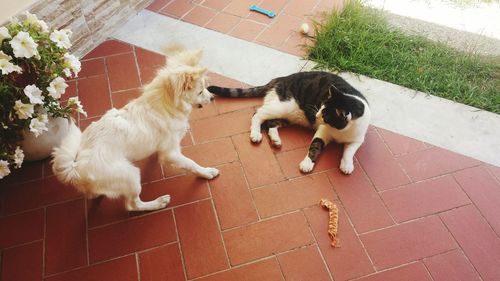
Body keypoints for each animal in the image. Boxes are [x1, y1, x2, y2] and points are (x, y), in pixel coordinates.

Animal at [52, 47, 219, 210]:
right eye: (200, 91)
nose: (212, 97)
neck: (166, 104)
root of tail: (76, 167)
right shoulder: (171, 154)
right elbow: (191, 163)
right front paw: (206, 172)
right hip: (131, 175)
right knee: (132, 205)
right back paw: (157, 203)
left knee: (95, 194)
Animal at [208, 71, 372, 174]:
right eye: (322, 107)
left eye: (325, 113)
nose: (316, 114)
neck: (340, 131)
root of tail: (280, 78)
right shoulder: (323, 131)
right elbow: (315, 146)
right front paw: (307, 163)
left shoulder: (358, 139)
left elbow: (349, 151)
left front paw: (347, 165)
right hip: (282, 106)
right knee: (257, 114)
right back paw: (255, 134)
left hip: (291, 115)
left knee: (271, 123)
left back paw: (275, 140)